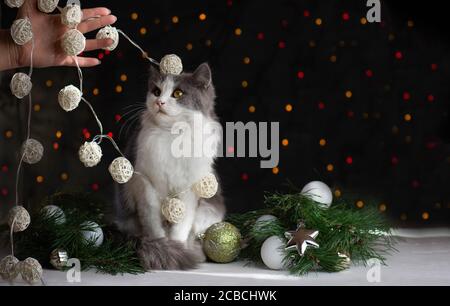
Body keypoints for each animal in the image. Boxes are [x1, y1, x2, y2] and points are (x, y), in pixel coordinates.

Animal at [113, 62, 224, 270]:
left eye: (178, 93)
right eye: (156, 91)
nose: (160, 102)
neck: (172, 136)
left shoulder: (189, 191)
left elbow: (181, 227)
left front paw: (177, 249)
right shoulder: (146, 185)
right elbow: (154, 225)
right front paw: (164, 249)